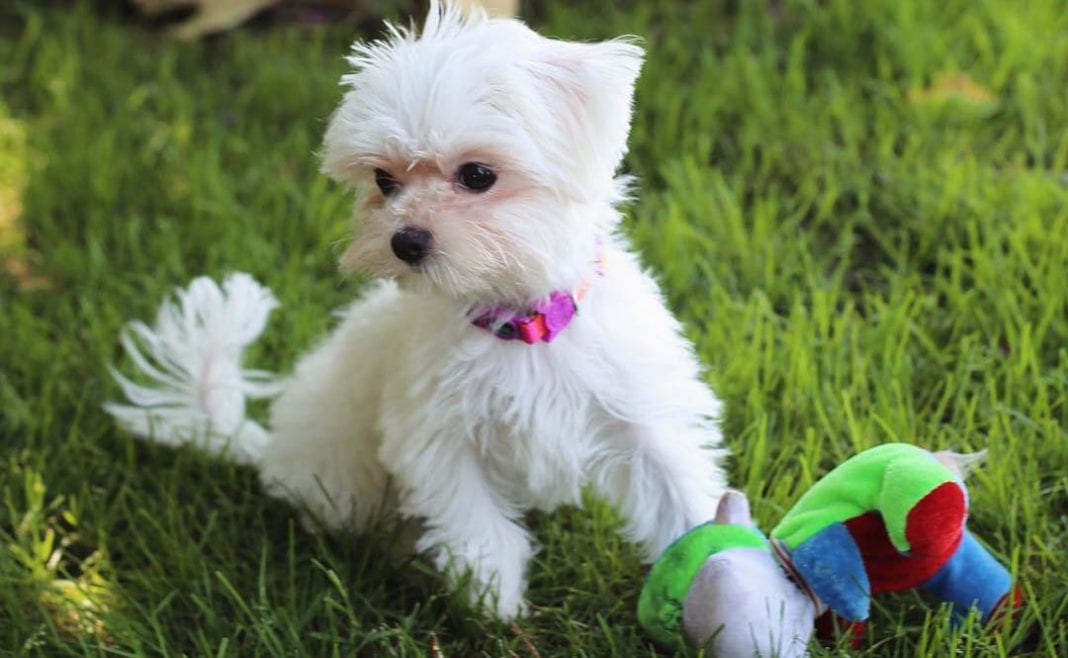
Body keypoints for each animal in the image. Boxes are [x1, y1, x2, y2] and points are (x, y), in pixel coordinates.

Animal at [106, 0, 726, 619]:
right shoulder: (441, 440)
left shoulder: (640, 414)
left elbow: (679, 488)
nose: (404, 240)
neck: (517, 324)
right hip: (344, 487)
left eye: (478, 175)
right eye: (384, 180)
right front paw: (495, 605)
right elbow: (476, 525)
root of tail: (269, 448)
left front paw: (717, 555)